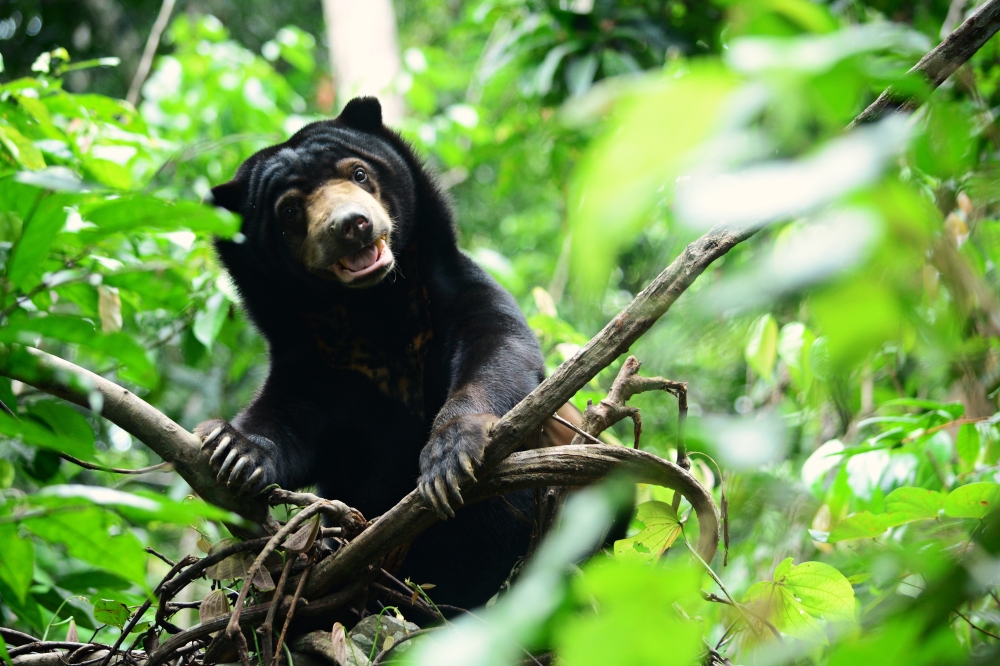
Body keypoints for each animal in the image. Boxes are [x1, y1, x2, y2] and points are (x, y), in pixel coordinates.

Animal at [195, 96, 550, 610]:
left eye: (359, 173)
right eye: (288, 210)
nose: (351, 225)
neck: (374, 306)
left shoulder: (460, 293)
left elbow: (499, 351)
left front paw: (448, 456)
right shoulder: (316, 361)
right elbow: (288, 416)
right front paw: (232, 449)